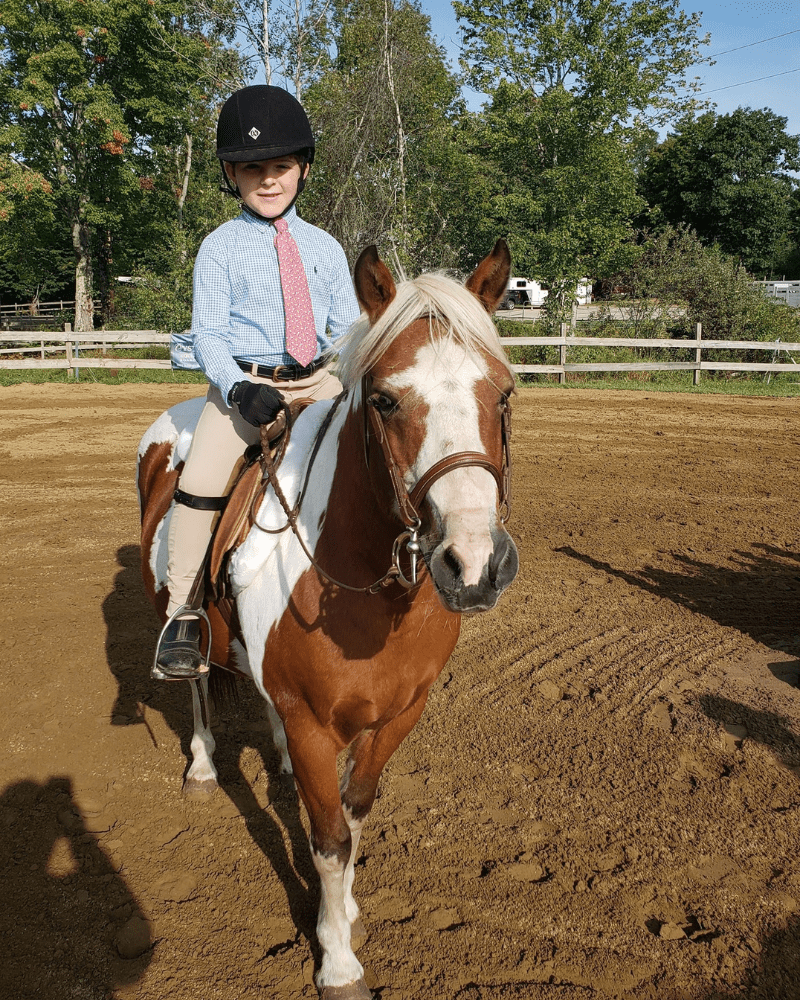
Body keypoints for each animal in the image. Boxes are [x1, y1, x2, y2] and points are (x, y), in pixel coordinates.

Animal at [138, 242, 520, 1000]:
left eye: (503, 394)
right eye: (385, 399)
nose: (473, 564)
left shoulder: (398, 714)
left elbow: (355, 813)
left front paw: (344, 912)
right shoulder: (315, 723)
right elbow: (330, 839)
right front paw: (337, 958)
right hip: (180, 621)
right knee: (196, 687)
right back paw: (203, 761)